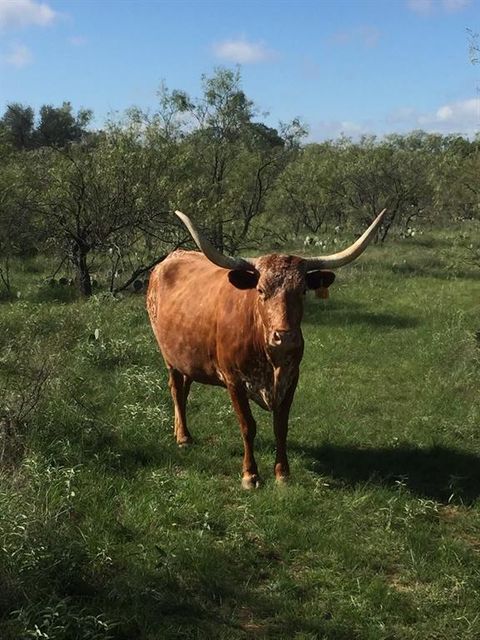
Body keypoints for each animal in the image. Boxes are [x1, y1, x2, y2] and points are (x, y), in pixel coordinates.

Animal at [146, 208, 386, 488]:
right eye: (260, 290)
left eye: (303, 291)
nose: (285, 337)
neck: (268, 357)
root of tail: (170, 258)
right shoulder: (234, 381)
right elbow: (247, 426)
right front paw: (250, 475)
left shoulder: (291, 379)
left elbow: (281, 426)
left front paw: (282, 473)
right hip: (169, 357)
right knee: (176, 388)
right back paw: (183, 437)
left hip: (188, 356)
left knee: (184, 388)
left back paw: (180, 431)